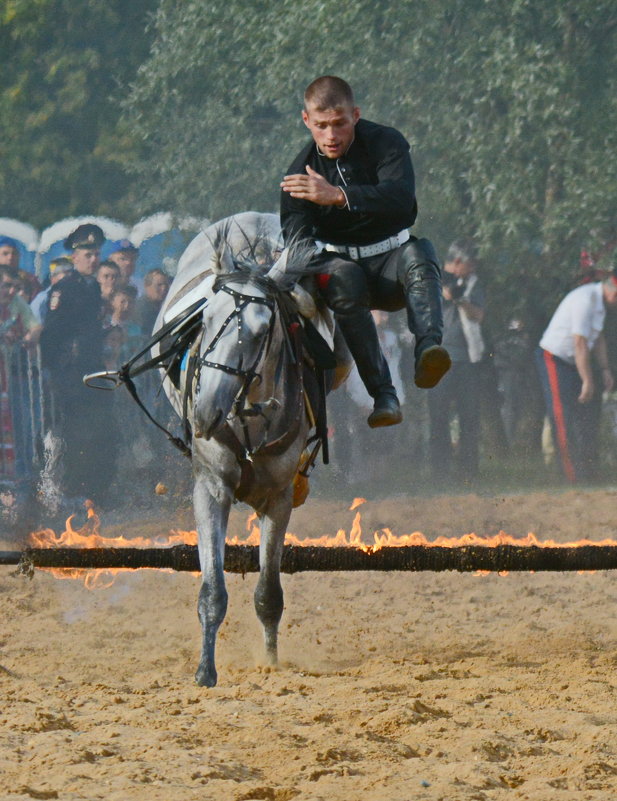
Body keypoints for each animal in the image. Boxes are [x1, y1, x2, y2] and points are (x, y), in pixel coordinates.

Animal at [154, 212, 336, 688]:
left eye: (261, 330)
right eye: (204, 319)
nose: (205, 411)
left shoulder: (279, 498)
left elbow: (268, 593)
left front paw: (270, 662)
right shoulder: (210, 489)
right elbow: (212, 592)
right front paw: (205, 670)